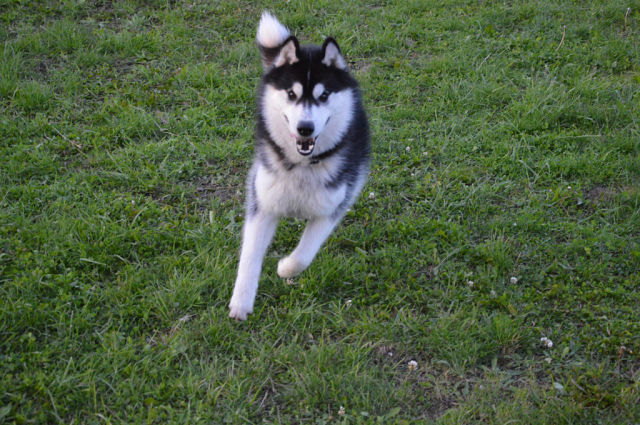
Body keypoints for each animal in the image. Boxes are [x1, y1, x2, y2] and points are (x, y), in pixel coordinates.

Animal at [228, 12, 371, 320]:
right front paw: (241, 303)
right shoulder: (262, 203)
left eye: (324, 95)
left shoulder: (331, 209)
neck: (302, 166)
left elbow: (304, 255)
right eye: (291, 94)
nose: (305, 128)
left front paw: (284, 267)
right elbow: (249, 256)